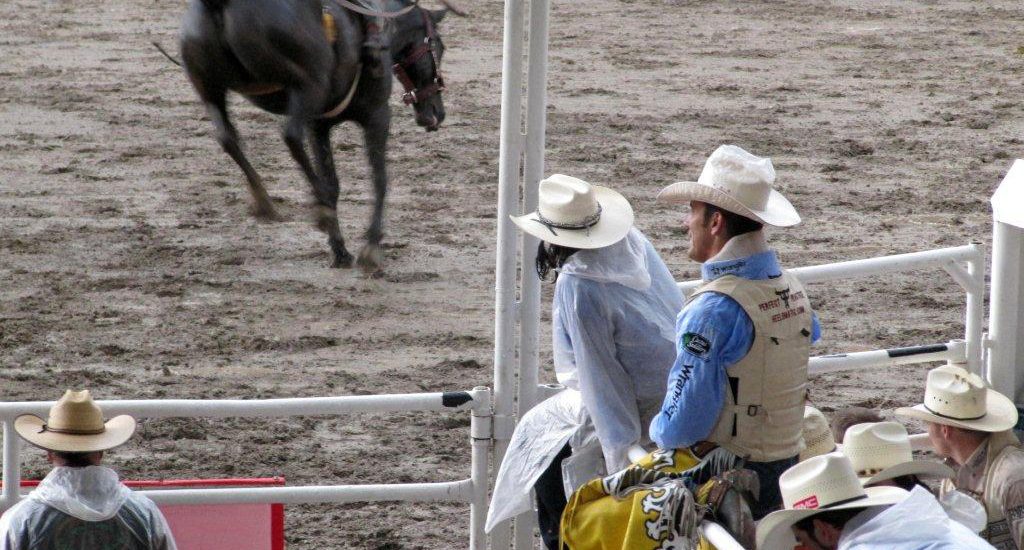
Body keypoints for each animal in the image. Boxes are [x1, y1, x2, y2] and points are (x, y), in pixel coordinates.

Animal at [180, 0, 456, 270]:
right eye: (439, 46)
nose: (437, 113)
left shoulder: (319, 126)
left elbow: (333, 182)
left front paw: (340, 250)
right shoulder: (377, 115)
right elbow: (380, 179)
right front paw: (371, 245)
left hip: (211, 90)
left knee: (229, 139)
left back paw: (265, 199)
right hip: (306, 87)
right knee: (290, 136)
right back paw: (320, 209)